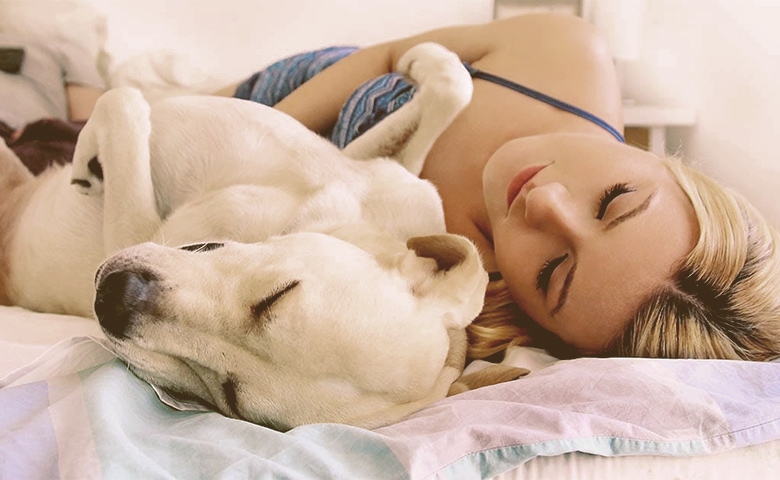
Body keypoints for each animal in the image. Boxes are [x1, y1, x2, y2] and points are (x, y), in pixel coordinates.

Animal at [0, 44, 528, 428]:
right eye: (278, 295)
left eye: (229, 396)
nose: (115, 295)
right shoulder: (379, 174)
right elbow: (451, 91)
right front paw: (425, 59)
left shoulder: (135, 230)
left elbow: (123, 102)